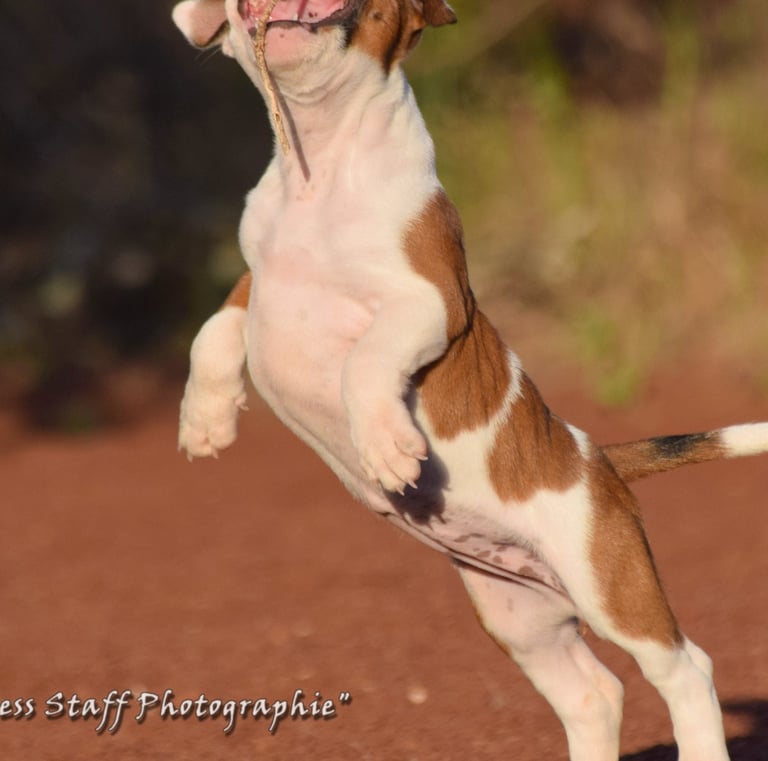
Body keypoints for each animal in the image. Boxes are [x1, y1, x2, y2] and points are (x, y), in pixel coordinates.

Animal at [172, 2, 768, 758]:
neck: (319, 165)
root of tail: (601, 461)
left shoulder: (428, 301)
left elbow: (366, 359)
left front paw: (387, 446)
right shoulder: (261, 280)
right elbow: (213, 330)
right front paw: (206, 417)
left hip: (610, 586)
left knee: (686, 669)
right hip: (522, 618)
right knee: (594, 693)